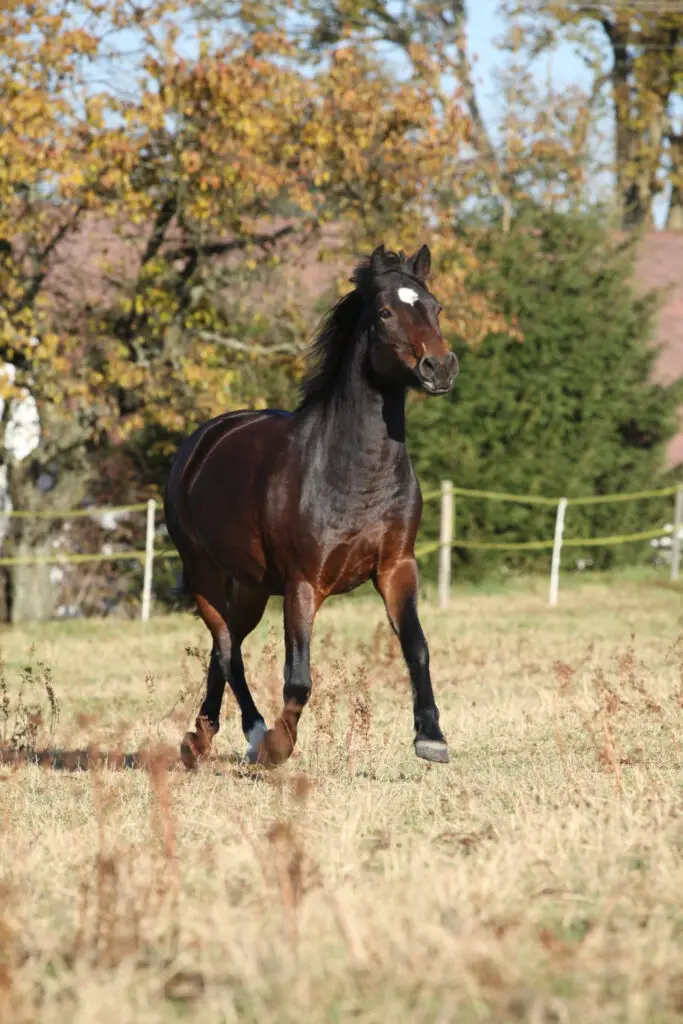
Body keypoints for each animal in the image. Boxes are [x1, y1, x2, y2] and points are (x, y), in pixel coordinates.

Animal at [164, 241, 458, 770]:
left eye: (435, 307)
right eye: (385, 312)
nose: (440, 368)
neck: (351, 471)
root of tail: (200, 443)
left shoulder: (396, 568)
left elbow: (417, 647)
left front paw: (431, 737)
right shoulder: (303, 583)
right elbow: (298, 676)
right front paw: (279, 745)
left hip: (253, 587)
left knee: (226, 646)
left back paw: (200, 738)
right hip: (204, 575)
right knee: (225, 648)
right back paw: (253, 734)